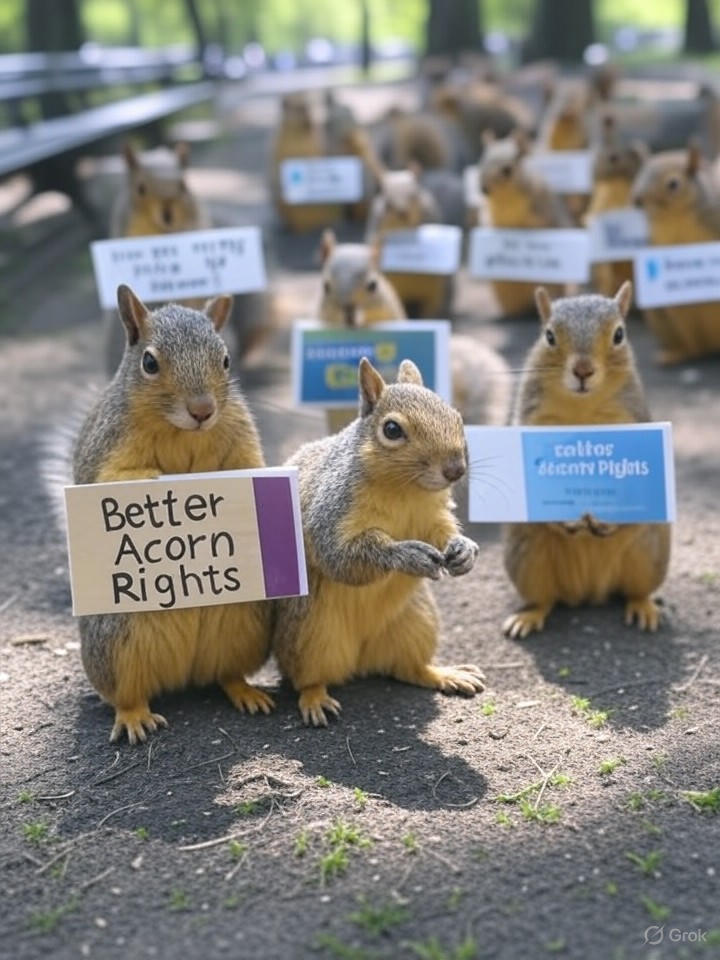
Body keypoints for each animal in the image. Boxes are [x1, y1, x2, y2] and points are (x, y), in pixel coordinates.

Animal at [73, 285, 273, 742]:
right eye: (149, 362)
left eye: (226, 359)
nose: (202, 410)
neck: (181, 431)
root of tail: (184, 675)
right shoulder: (107, 450)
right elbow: (111, 484)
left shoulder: (240, 434)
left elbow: (251, 466)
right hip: (117, 643)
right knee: (126, 693)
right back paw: (134, 717)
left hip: (246, 625)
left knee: (226, 673)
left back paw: (245, 691)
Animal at [272, 357, 485, 726]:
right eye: (392, 430)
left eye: (456, 415)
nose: (456, 469)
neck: (405, 490)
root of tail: (360, 658)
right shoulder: (332, 514)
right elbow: (342, 556)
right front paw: (405, 553)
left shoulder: (433, 514)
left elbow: (442, 530)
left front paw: (464, 549)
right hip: (309, 635)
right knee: (308, 678)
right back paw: (315, 699)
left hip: (417, 622)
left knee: (410, 669)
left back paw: (445, 674)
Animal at [479, 129, 570, 317]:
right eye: (480, 162)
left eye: (507, 170)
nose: (483, 189)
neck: (505, 200)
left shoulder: (541, 207)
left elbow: (541, 224)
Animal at [502, 281, 671, 639]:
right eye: (548, 335)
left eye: (619, 334)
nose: (583, 371)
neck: (582, 408)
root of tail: (589, 592)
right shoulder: (530, 421)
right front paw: (562, 516)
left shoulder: (633, 421)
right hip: (527, 558)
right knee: (543, 599)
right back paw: (528, 616)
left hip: (648, 554)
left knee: (636, 591)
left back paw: (644, 608)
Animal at [631, 141, 720, 363]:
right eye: (639, 175)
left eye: (673, 184)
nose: (636, 199)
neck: (676, 218)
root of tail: (709, 347)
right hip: (664, 319)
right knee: (689, 347)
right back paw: (675, 353)